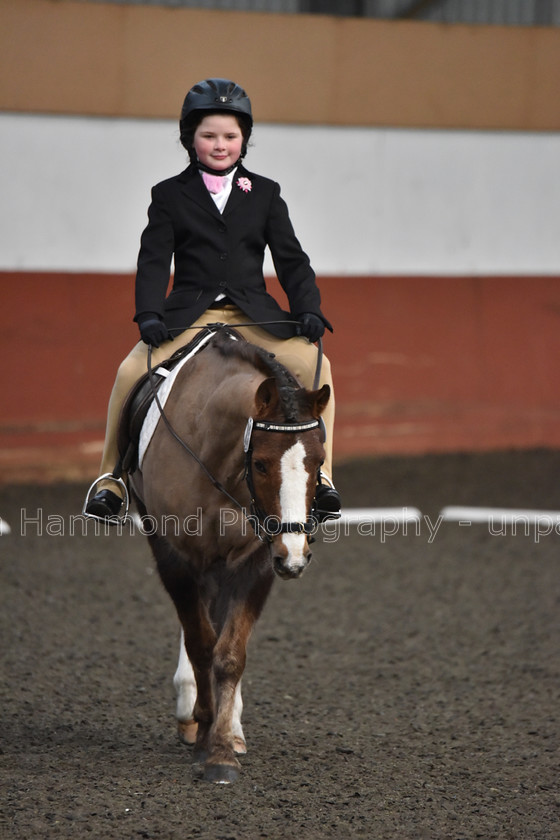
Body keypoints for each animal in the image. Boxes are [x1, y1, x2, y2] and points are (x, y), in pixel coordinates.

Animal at [131, 332, 328, 784]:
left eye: (320, 462)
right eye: (261, 464)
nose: (295, 558)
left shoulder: (255, 559)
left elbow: (230, 653)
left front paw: (221, 747)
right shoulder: (175, 557)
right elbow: (202, 645)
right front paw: (204, 730)